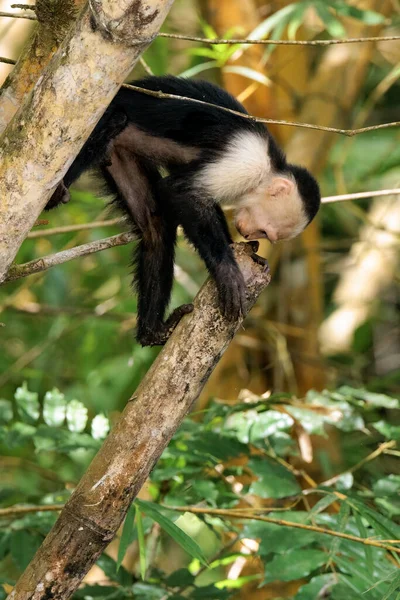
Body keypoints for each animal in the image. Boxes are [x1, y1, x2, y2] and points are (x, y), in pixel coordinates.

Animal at [47, 75, 322, 346]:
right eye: (265, 231)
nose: (248, 234)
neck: (269, 166)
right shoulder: (245, 164)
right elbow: (181, 191)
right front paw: (226, 270)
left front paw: (240, 249)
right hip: (96, 118)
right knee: (114, 121)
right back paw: (54, 193)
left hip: (119, 150)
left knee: (156, 226)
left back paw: (153, 332)